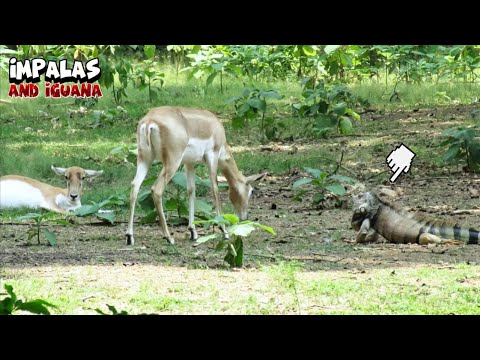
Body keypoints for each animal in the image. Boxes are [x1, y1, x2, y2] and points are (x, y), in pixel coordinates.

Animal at [125, 106, 268, 245]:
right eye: (251, 191)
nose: (245, 217)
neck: (214, 127)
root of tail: (150, 120)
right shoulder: (212, 156)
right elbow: (215, 190)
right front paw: (224, 231)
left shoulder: (190, 163)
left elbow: (191, 190)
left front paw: (193, 232)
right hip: (172, 162)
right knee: (156, 189)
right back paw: (169, 237)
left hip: (144, 159)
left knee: (134, 186)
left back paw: (129, 236)